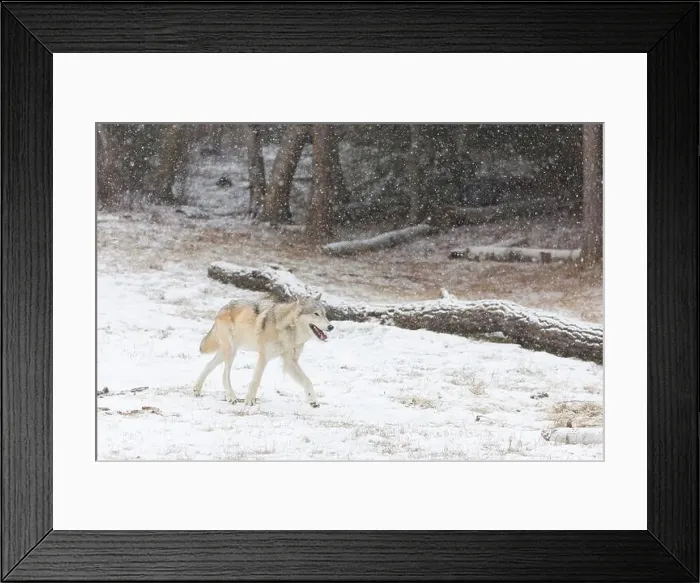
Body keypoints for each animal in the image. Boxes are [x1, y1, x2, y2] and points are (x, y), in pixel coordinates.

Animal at [194, 294, 333, 408]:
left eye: (325, 314)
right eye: (316, 314)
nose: (331, 326)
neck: (288, 331)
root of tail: (222, 309)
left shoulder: (290, 362)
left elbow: (307, 381)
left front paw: (313, 401)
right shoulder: (264, 357)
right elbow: (256, 380)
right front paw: (249, 400)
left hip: (227, 352)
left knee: (208, 365)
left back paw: (197, 389)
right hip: (230, 352)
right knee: (224, 374)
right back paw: (231, 397)